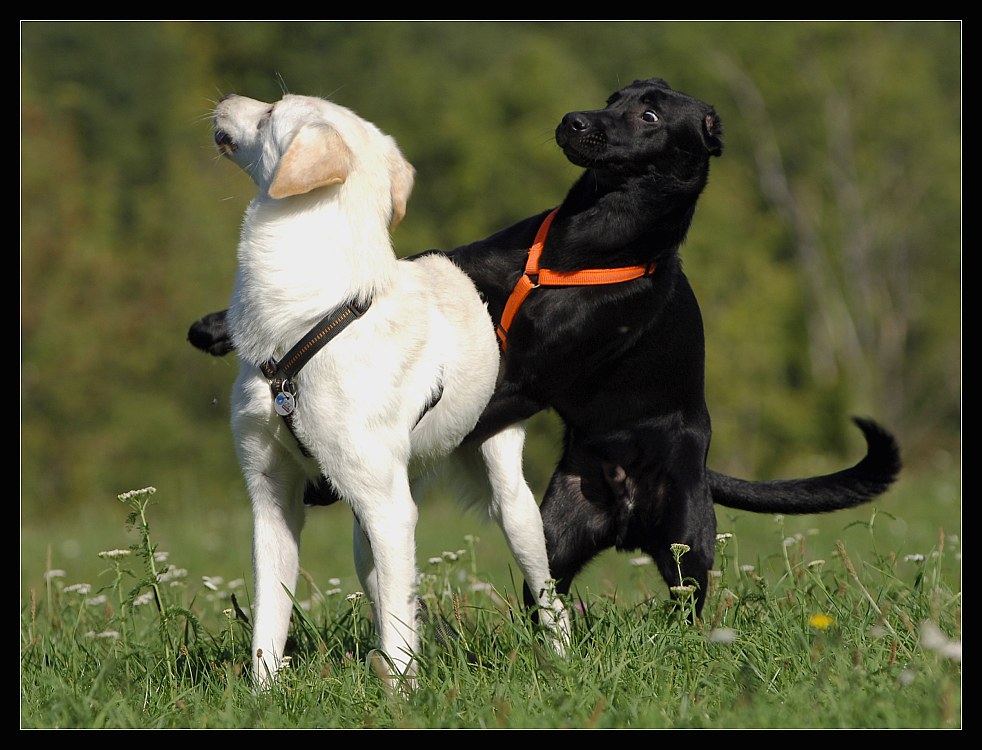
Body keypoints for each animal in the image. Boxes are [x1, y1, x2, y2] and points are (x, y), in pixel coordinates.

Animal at [188, 78, 904, 616]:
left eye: (647, 115)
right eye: (615, 95)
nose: (572, 119)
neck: (585, 242)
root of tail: (629, 510)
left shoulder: (524, 377)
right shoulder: (476, 267)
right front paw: (219, 328)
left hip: (673, 542)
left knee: (677, 602)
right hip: (560, 530)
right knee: (546, 597)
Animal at [213, 92, 568, 688]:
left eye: (270, 112)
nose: (223, 100)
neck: (303, 322)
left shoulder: (390, 510)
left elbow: (399, 630)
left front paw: (404, 694)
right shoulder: (271, 496)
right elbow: (270, 616)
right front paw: (262, 694)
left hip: (510, 505)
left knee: (547, 594)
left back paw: (561, 657)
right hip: (370, 523)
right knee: (387, 590)